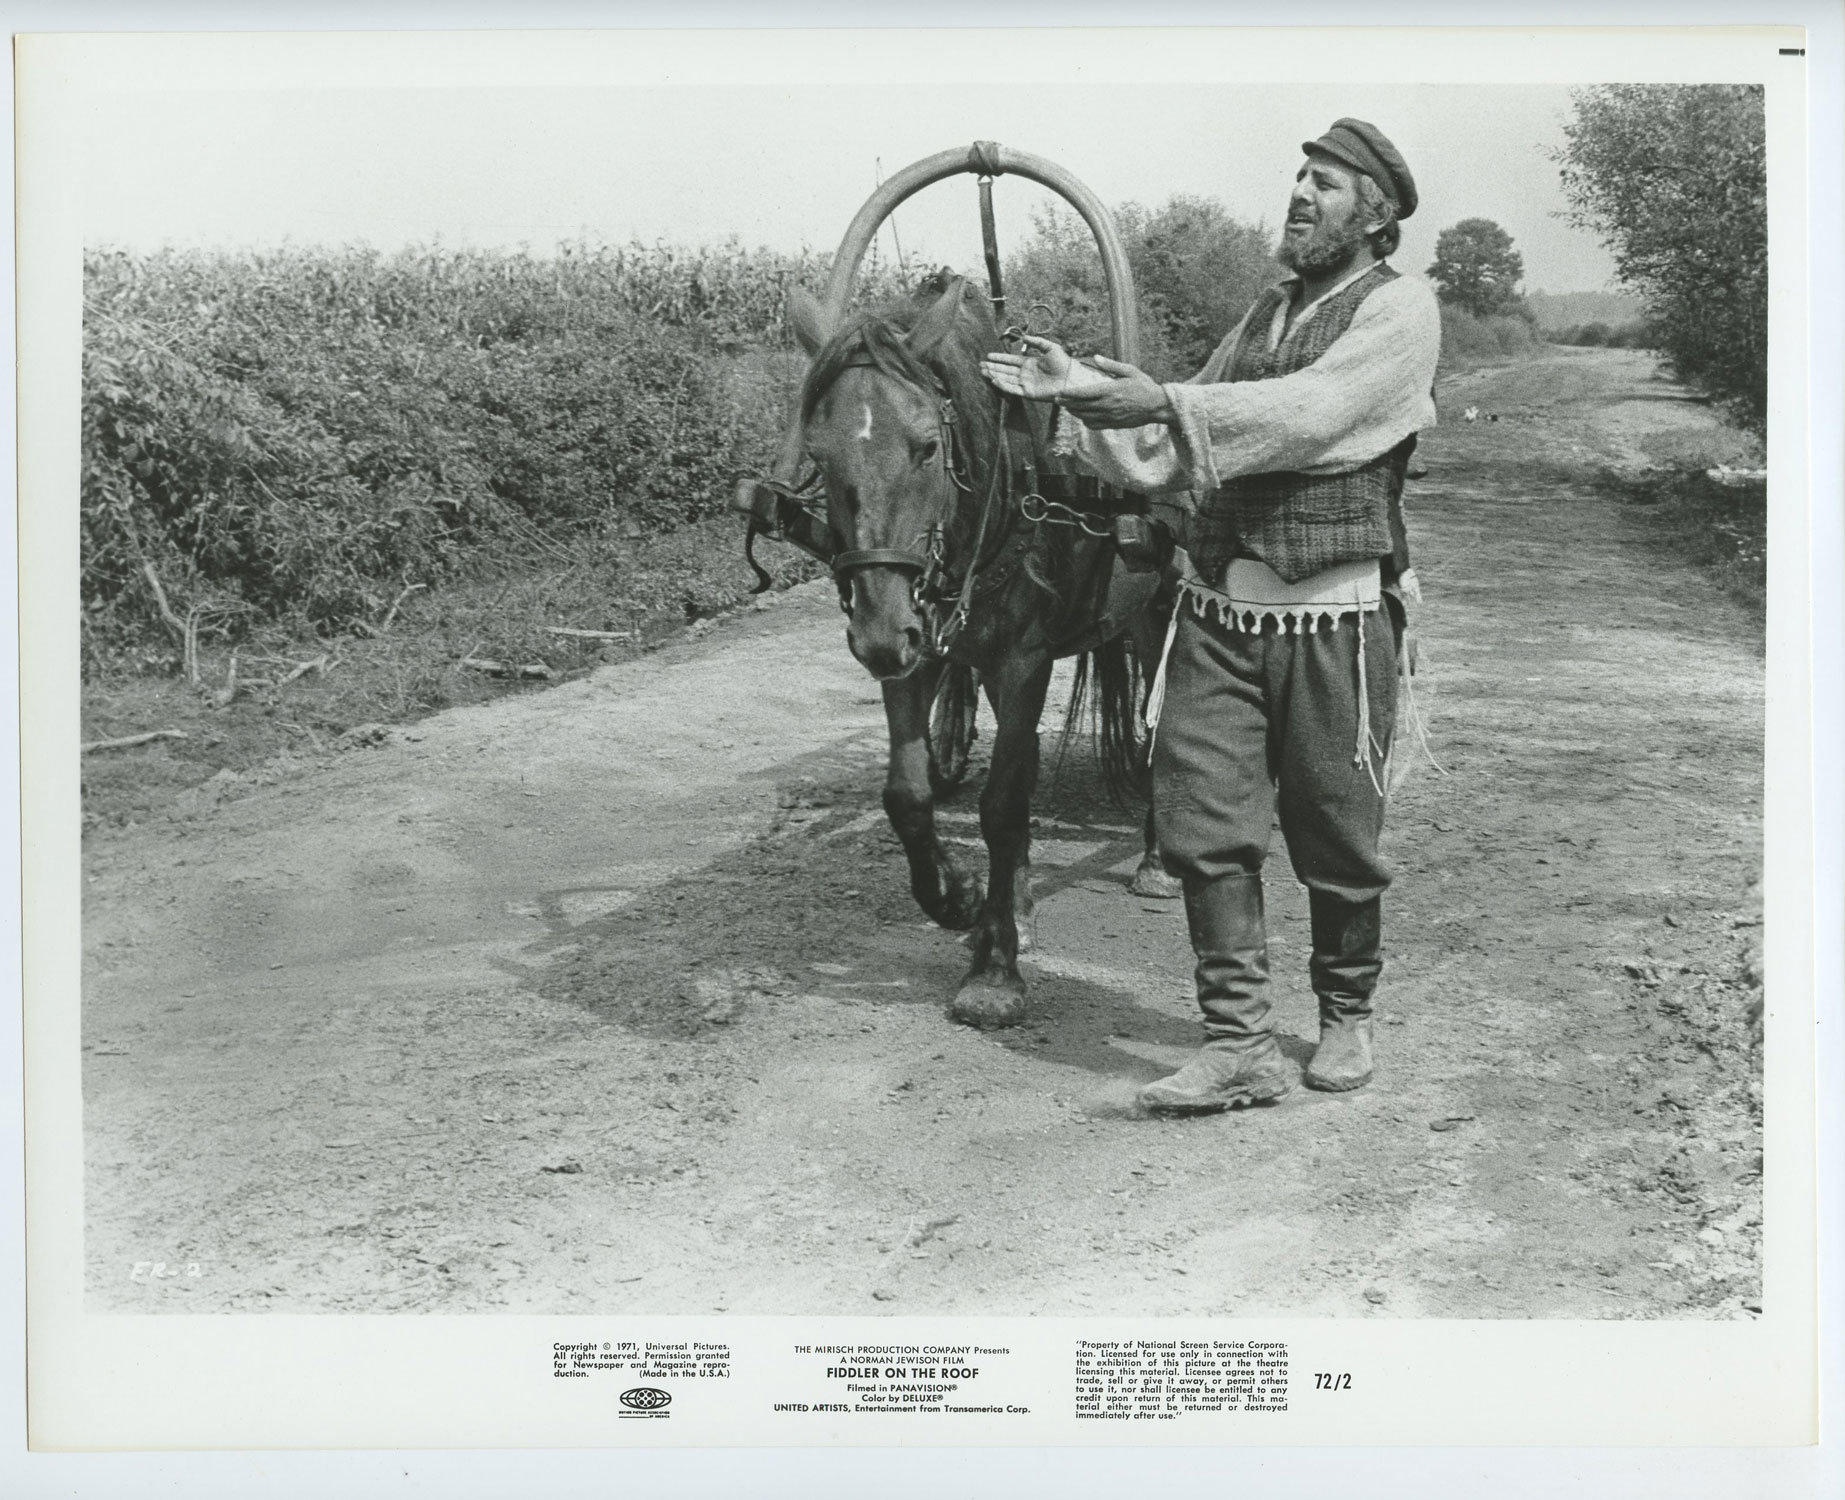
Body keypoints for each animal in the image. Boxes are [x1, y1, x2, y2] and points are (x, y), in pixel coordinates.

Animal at [785, 269, 1173, 1025]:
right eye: (818, 454)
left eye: (926, 447)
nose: (877, 633)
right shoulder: (917, 656)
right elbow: (907, 795)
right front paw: (961, 899)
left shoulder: (1021, 664)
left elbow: (1002, 804)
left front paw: (995, 969)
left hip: (1160, 611)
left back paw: (1155, 859)